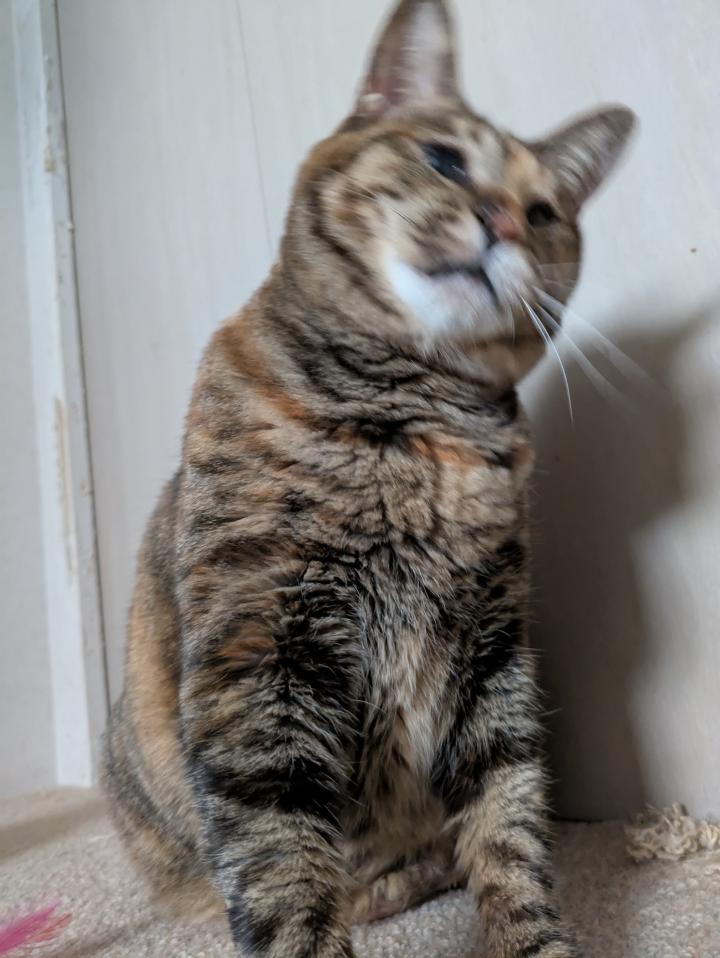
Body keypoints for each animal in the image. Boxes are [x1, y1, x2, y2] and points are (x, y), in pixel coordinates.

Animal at [102, 1, 635, 956]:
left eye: (544, 211)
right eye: (445, 160)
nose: (503, 221)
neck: (411, 433)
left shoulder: (491, 655)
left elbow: (510, 826)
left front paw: (533, 938)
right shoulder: (259, 656)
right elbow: (281, 866)